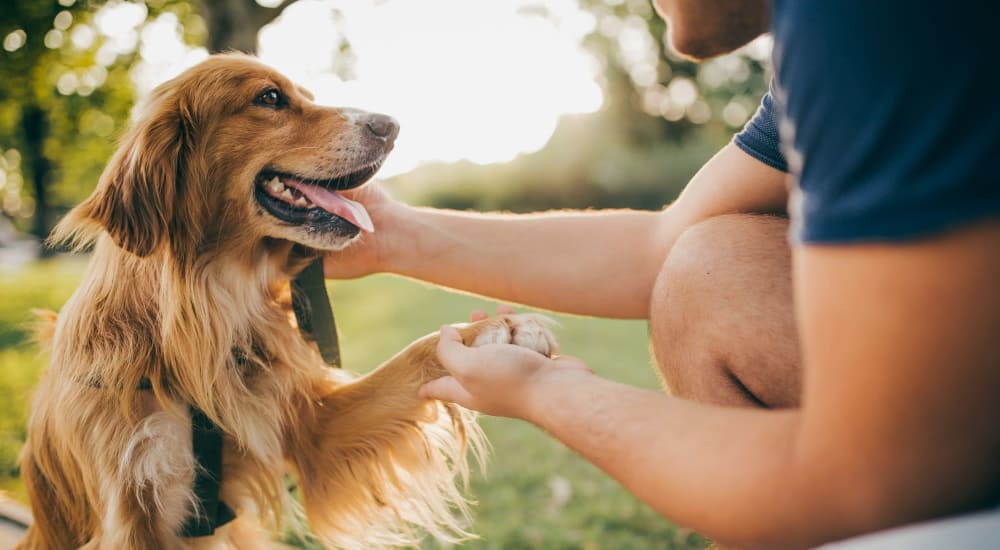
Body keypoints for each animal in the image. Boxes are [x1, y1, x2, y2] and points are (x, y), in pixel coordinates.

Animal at [19, 52, 560, 550]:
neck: (203, 310)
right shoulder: (129, 514)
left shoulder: (311, 429)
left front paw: (495, 333)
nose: (391, 126)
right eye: (270, 98)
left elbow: (412, 358)